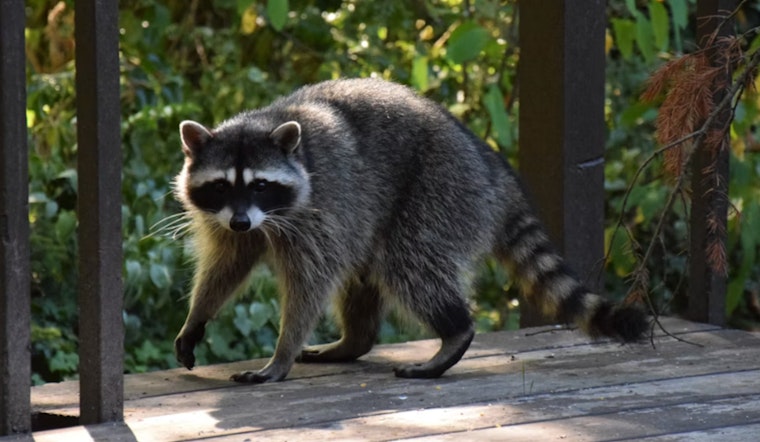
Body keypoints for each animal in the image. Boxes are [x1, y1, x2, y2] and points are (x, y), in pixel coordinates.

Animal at [173, 78, 647, 383]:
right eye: (221, 186)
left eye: (260, 184)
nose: (241, 221)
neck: (267, 120)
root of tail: (491, 168)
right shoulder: (233, 220)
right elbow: (227, 265)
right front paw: (197, 316)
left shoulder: (321, 209)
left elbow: (310, 283)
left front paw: (281, 353)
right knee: (366, 275)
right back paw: (355, 340)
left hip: (439, 190)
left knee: (409, 264)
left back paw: (454, 332)